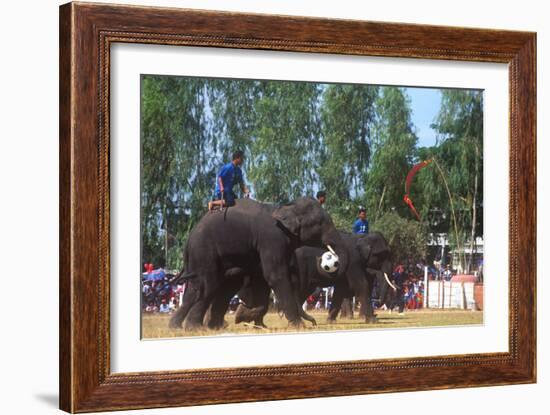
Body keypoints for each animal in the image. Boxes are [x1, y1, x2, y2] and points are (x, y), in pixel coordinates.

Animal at [169, 197, 350, 332]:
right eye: (319, 224)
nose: (314, 323)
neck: (286, 206)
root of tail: (189, 238)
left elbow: (263, 279)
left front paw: (249, 318)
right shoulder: (271, 239)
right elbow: (275, 276)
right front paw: (298, 326)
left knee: (202, 288)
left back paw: (183, 327)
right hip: (204, 251)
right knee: (208, 284)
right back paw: (196, 328)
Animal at [235, 232, 394, 326]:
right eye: (382, 254)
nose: (378, 307)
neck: (361, 237)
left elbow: (340, 290)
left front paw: (331, 321)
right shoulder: (353, 261)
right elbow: (361, 285)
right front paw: (373, 321)